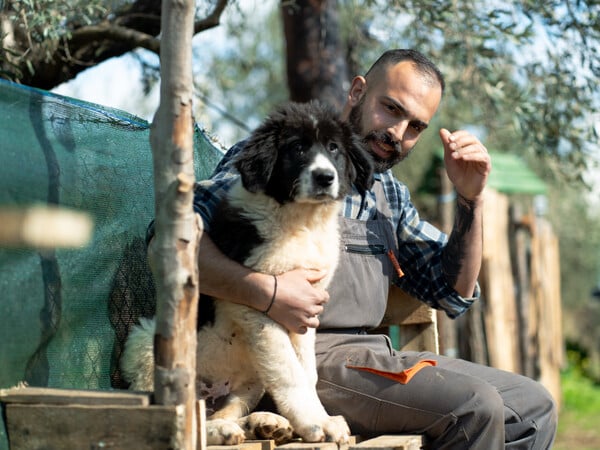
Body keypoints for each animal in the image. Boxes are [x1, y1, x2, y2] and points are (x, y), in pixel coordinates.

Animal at [121, 101, 372, 446]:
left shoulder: (304, 312)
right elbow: (289, 370)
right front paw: (316, 423)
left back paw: (262, 424)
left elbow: (306, 369)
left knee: (222, 411)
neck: (301, 221)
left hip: (251, 380)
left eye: (334, 148)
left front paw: (314, 417)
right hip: (148, 345)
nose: (324, 177)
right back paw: (225, 430)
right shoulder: (259, 304)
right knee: (182, 417)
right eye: (297, 148)